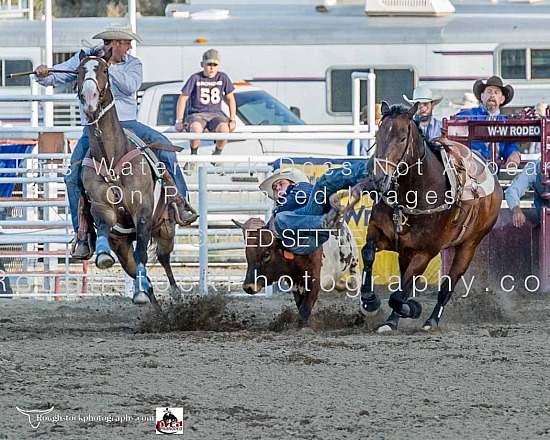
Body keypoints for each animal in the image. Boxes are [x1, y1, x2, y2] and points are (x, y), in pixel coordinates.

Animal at [77, 47, 181, 302]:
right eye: (79, 71)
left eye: (105, 70)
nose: (90, 98)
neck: (112, 158)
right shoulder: (102, 209)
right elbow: (104, 228)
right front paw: (103, 255)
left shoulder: (143, 211)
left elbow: (143, 253)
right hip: (124, 246)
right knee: (140, 273)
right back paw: (146, 294)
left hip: (165, 229)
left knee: (163, 257)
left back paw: (174, 293)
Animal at [348, 101, 506, 332]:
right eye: (377, 135)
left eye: (402, 138)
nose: (378, 179)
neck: (412, 195)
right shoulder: (379, 233)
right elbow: (369, 254)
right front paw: (369, 300)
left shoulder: (426, 252)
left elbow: (399, 296)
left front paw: (412, 309)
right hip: (406, 252)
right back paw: (392, 320)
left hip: (469, 246)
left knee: (446, 288)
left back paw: (430, 321)